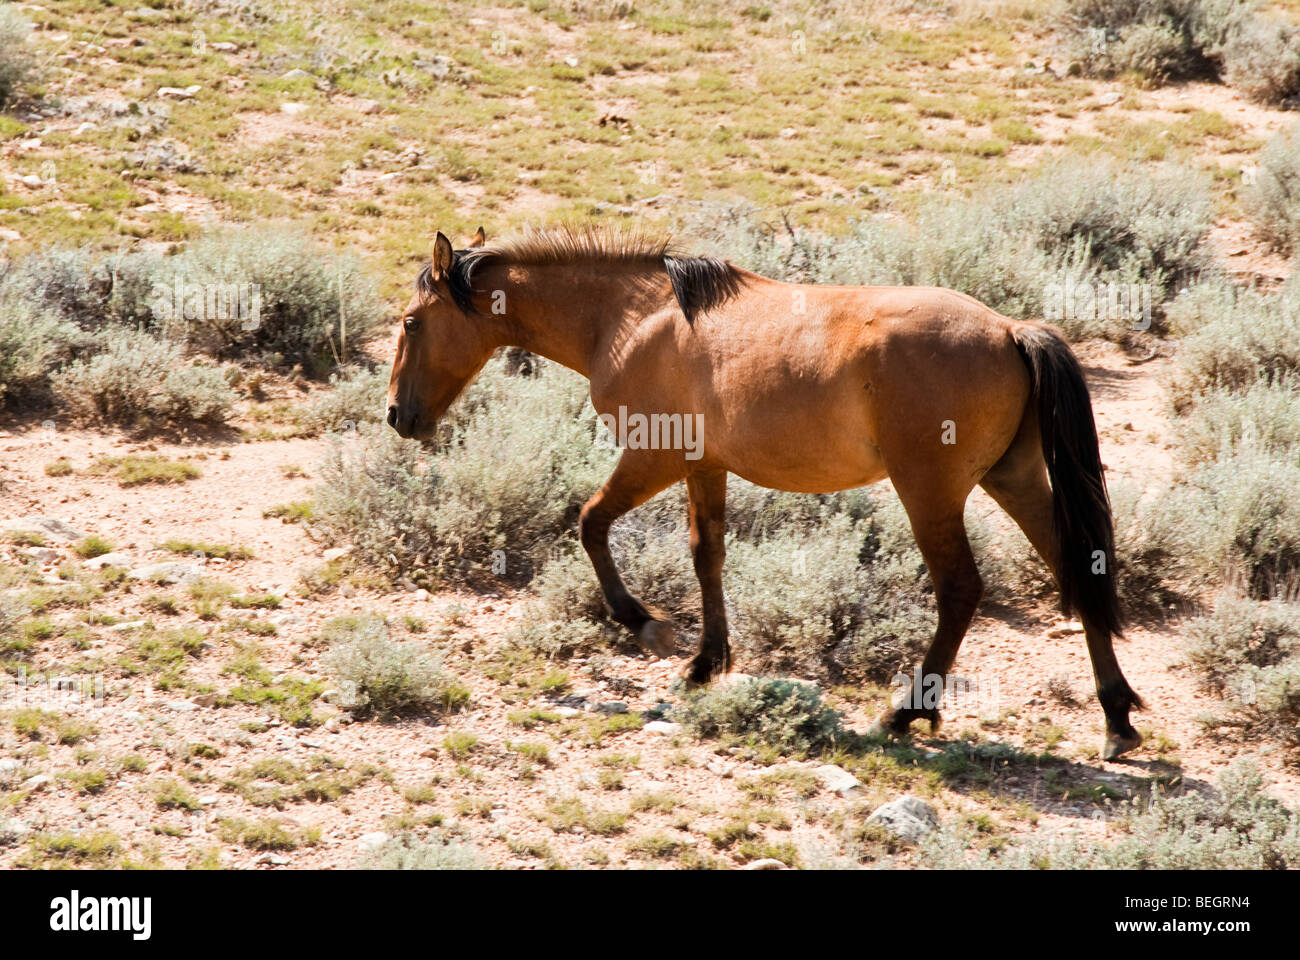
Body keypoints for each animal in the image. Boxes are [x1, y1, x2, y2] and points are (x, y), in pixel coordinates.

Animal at [387, 222, 1149, 754]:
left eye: (411, 322)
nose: (398, 416)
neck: (631, 317)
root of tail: (1011, 330)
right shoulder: (704, 467)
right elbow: (707, 555)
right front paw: (707, 662)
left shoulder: (652, 458)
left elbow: (590, 522)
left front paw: (644, 623)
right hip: (1011, 479)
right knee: (1078, 570)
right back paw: (1116, 718)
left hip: (930, 493)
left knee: (961, 589)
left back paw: (908, 711)